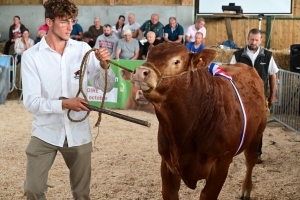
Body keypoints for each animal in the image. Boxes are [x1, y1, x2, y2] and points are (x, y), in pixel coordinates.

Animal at [132, 43, 268, 199]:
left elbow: (207, 194)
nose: (140, 71)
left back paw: (246, 189)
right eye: (149, 55)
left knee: (250, 160)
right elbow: (169, 192)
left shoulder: (222, 162)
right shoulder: (166, 161)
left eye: (176, 61)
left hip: (257, 132)